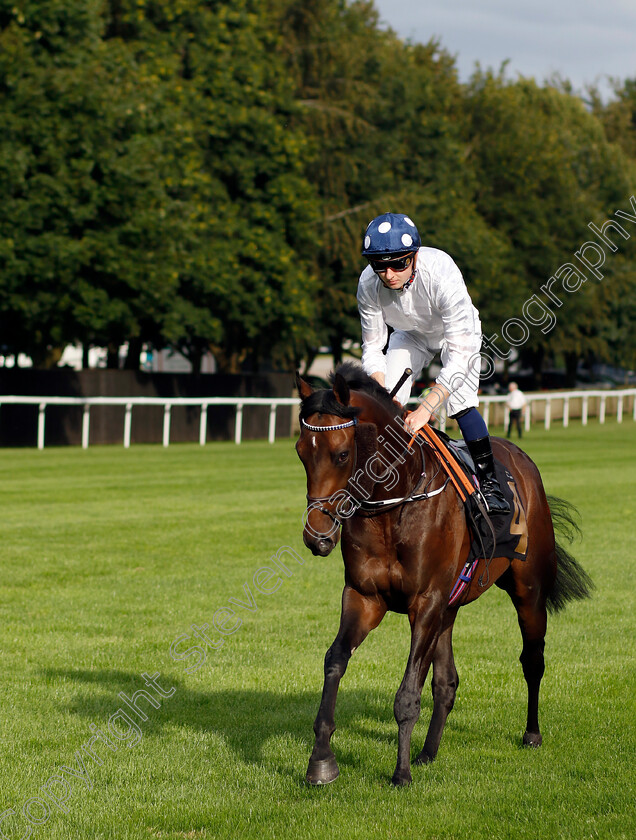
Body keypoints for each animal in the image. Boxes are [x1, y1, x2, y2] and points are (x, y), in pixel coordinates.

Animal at [296, 362, 592, 788]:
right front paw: (321, 761)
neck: (394, 506)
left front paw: (400, 773)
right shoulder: (365, 597)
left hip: (528, 590)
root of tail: (521, 458)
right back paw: (428, 751)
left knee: (533, 660)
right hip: (450, 606)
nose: (316, 536)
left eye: (341, 454)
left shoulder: (426, 603)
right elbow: (335, 660)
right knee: (447, 682)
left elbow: (408, 693)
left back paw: (531, 733)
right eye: (301, 452)